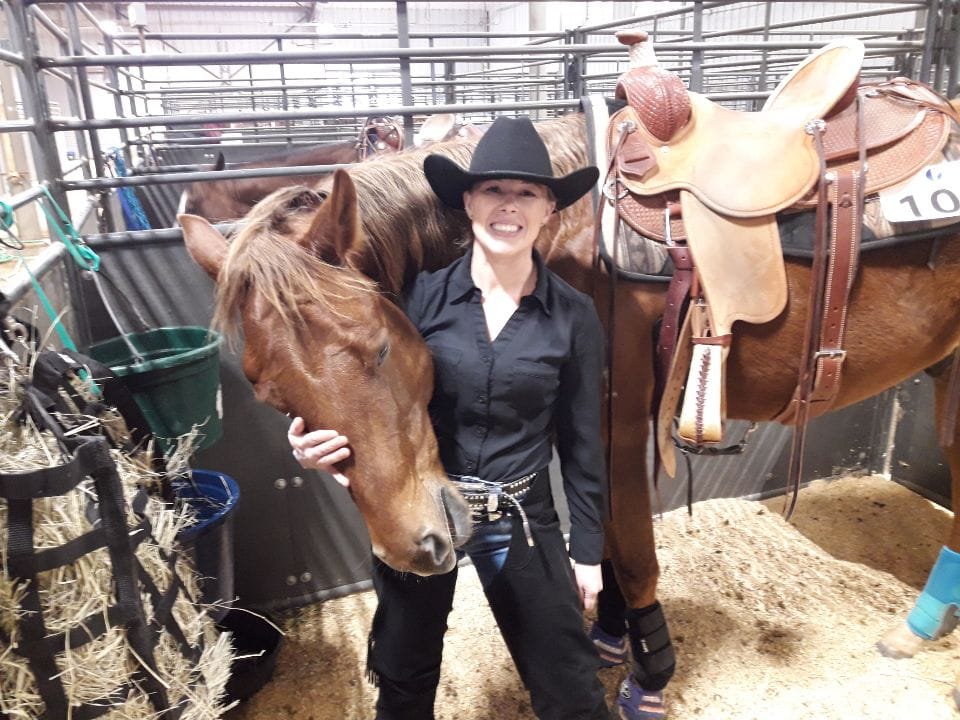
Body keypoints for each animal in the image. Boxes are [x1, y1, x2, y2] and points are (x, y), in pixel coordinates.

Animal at [180, 54, 960, 704]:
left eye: (376, 349)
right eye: (270, 393)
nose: (419, 548)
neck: (564, 230)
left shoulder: (616, 418)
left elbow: (630, 547)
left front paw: (650, 671)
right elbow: (603, 538)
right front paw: (612, 633)